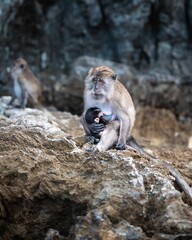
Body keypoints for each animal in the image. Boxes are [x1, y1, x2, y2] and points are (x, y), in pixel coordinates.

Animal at [81, 65, 192, 201]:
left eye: (101, 81)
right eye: (95, 80)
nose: (96, 88)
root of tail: (130, 136)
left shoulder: (114, 98)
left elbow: (124, 118)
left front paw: (120, 143)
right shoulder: (87, 93)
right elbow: (84, 115)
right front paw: (92, 128)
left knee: (115, 124)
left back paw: (101, 147)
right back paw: (91, 138)